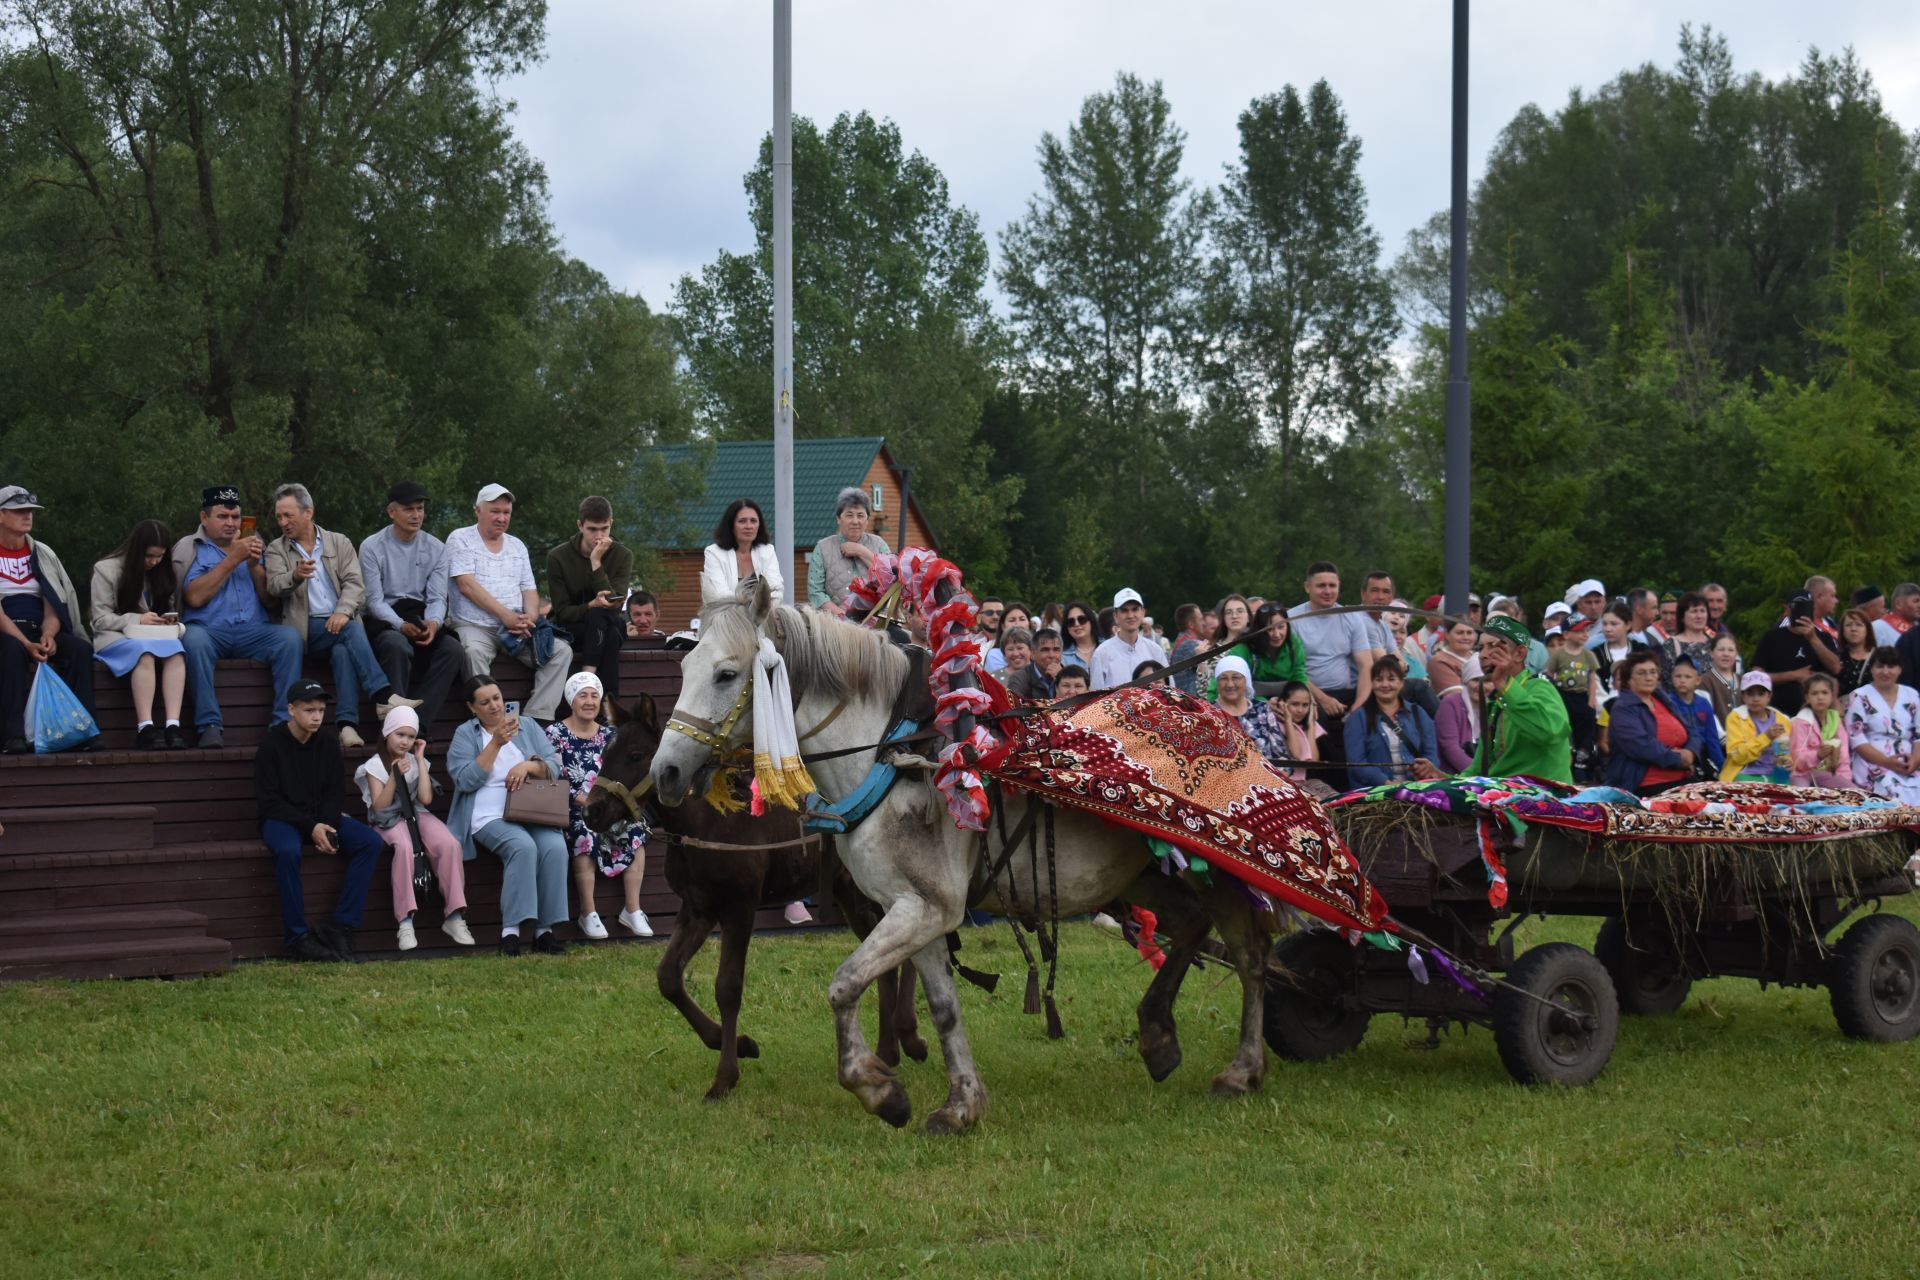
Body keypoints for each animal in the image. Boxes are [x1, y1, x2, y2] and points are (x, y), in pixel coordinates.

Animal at [579, 694, 925, 1105]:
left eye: (634, 755)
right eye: (605, 753)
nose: (591, 811)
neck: (705, 824)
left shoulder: (739, 908)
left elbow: (728, 988)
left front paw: (725, 1077)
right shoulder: (697, 909)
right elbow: (668, 978)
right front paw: (738, 1044)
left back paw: (908, 1039)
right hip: (850, 895)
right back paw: (890, 1049)